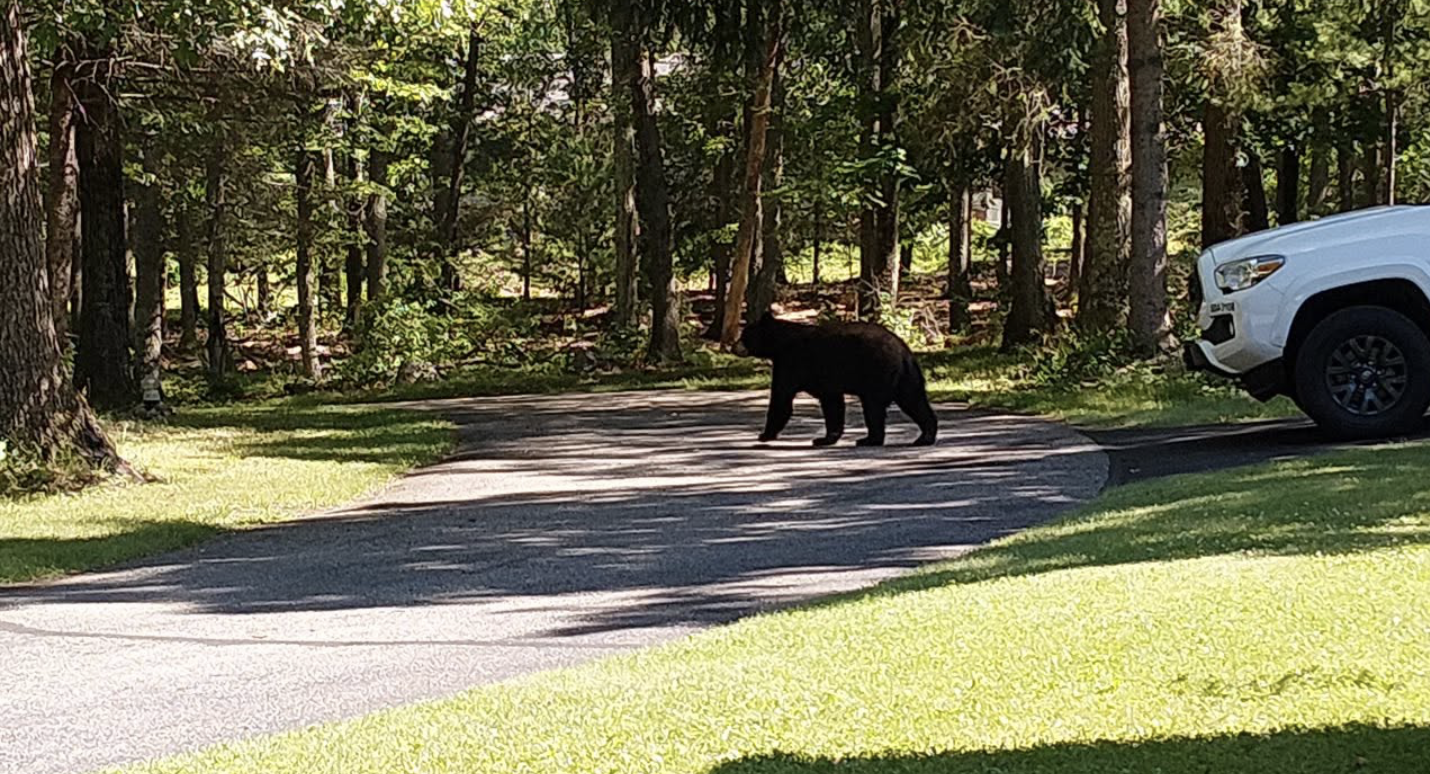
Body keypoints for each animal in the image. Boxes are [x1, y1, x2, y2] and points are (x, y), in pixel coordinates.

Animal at [737, 313, 939, 447]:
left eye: (745, 335)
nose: (733, 346)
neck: (779, 343)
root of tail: (903, 350)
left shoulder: (790, 362)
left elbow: (781, 398)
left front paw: (764, 435)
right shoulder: (825, 379)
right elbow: (832, 403)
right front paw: (826, 438)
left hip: (876, 370)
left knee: (873, 406)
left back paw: (869, 439)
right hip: (906, 376)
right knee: (914, 401)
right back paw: (925, 437)